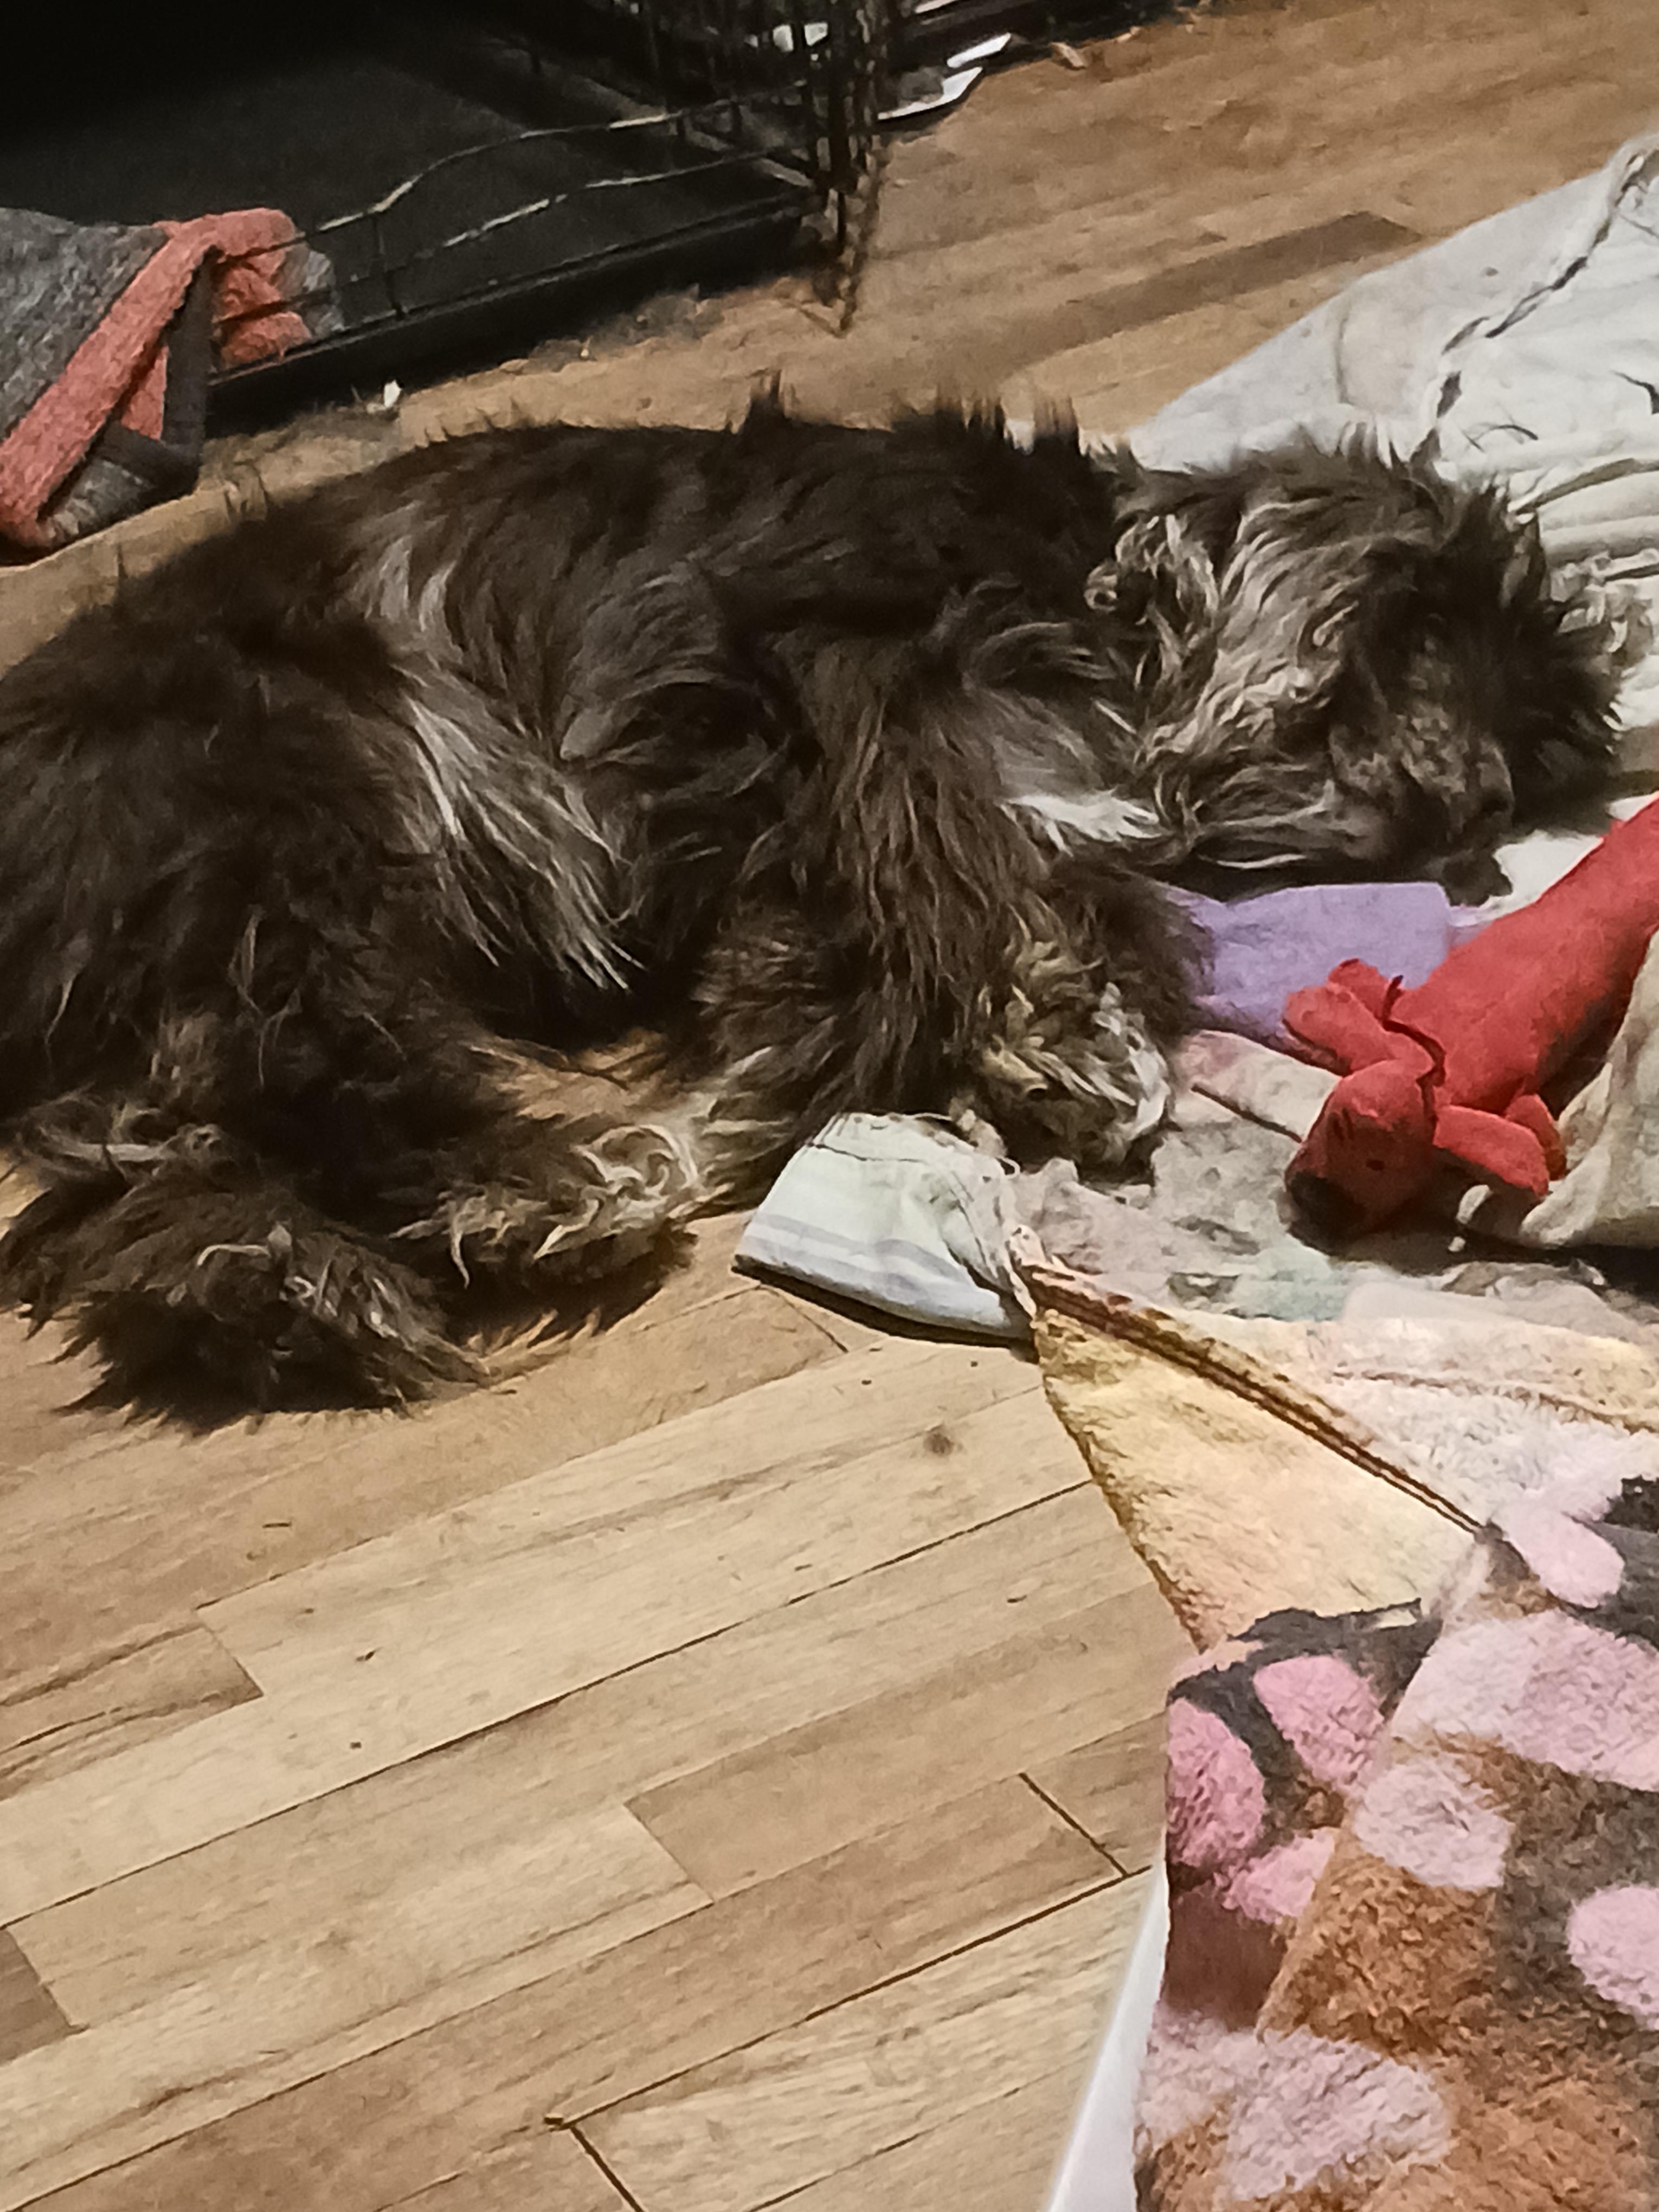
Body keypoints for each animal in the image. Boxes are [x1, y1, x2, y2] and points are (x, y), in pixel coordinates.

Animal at [0, 397, 1620, 1410]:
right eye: (1418, 635)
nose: (1468, 818)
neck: (1092, 599)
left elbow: (940, 934)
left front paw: (1057, 1049)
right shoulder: (853, 676)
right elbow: (959, 881)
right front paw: (1062, 1046)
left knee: (159, 1151)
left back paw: (295, 1281)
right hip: (284, 803)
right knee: (298, 1063)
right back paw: (541, 1196)